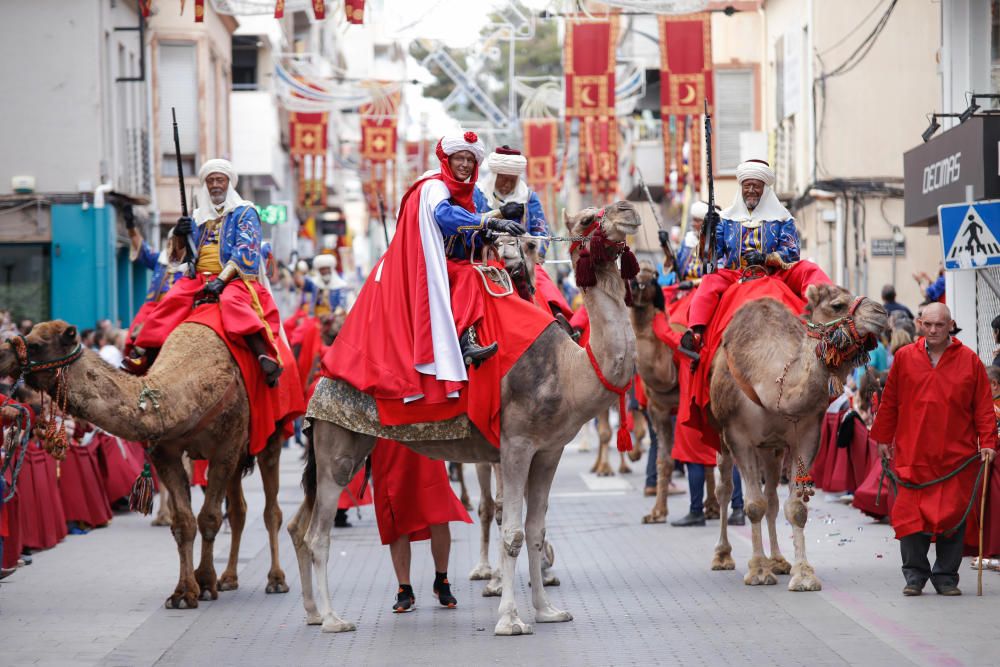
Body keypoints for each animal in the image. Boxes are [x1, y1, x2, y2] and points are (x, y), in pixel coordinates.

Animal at [0, 320, 290, 608]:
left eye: (35, 344)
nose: (2, 354)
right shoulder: (166, 452)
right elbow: (184, 522)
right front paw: (184, 592)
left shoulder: (225, 448)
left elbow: (209, 518)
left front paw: (205, 583)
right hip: (240, 455)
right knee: (239, 510)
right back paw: (228, 578)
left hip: (267, 438)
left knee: (271, 510)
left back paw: (276, 580)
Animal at [286, 200, 640, 636]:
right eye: (589, 218)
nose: (627, 210)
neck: (570, 368)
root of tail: (320, 380)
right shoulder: (516, 444)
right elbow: (513, 532)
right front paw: (510, 619)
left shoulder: (549, 450)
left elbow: (536, 531)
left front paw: (547, 611)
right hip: (337, 447)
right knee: (318, 534)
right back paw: (334, 619)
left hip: (342, 446)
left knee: (299, 527)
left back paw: (313, 612)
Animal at [628, 264, 716, 524]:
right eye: (631, 273)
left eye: (652, 278)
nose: (634, 284)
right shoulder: (658, 410)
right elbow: (664, 460)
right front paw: (656, 513)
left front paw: (712, 507)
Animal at [708, 280, 888, 588]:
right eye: (837, 305)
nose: (882, 312)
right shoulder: (738, 436)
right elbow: (752, 505)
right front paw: (758, 571)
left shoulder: (806, 434)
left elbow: (796, 508)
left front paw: (803, 574)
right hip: (722, 438)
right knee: (725, 489)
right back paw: (722, 556)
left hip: (772, 448)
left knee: (772, 498)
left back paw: (779, 561)